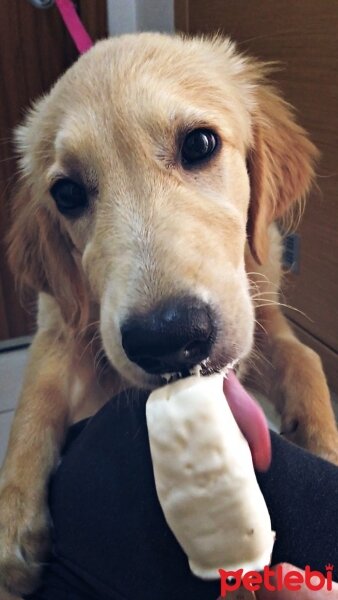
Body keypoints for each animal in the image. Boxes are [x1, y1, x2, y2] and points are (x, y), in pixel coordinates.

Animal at [0, 32, 338, 596]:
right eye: (66, 193)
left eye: (199, 144)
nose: (168, 339)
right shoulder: (65, 320)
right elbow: (36, 395)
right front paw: (13, 519)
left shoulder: (260, 312)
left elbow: (305, 358)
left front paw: (322, 442)